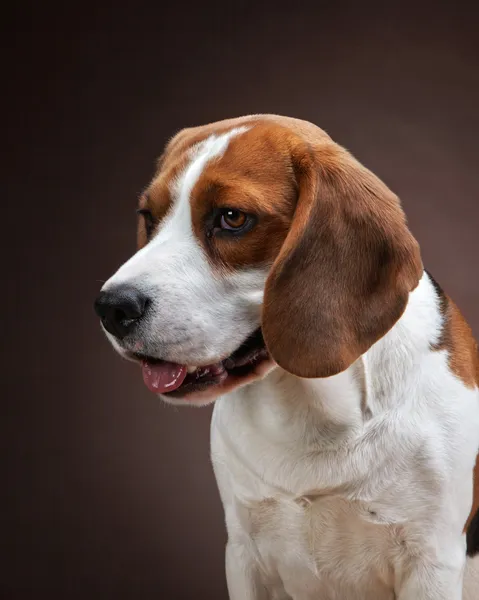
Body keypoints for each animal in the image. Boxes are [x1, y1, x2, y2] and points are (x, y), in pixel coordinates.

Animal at [95, 115, 479, 596]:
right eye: (149, 217)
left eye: (232, 218)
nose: (111, 308)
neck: (312, 407)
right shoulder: (243, 552)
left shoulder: (431, 562)